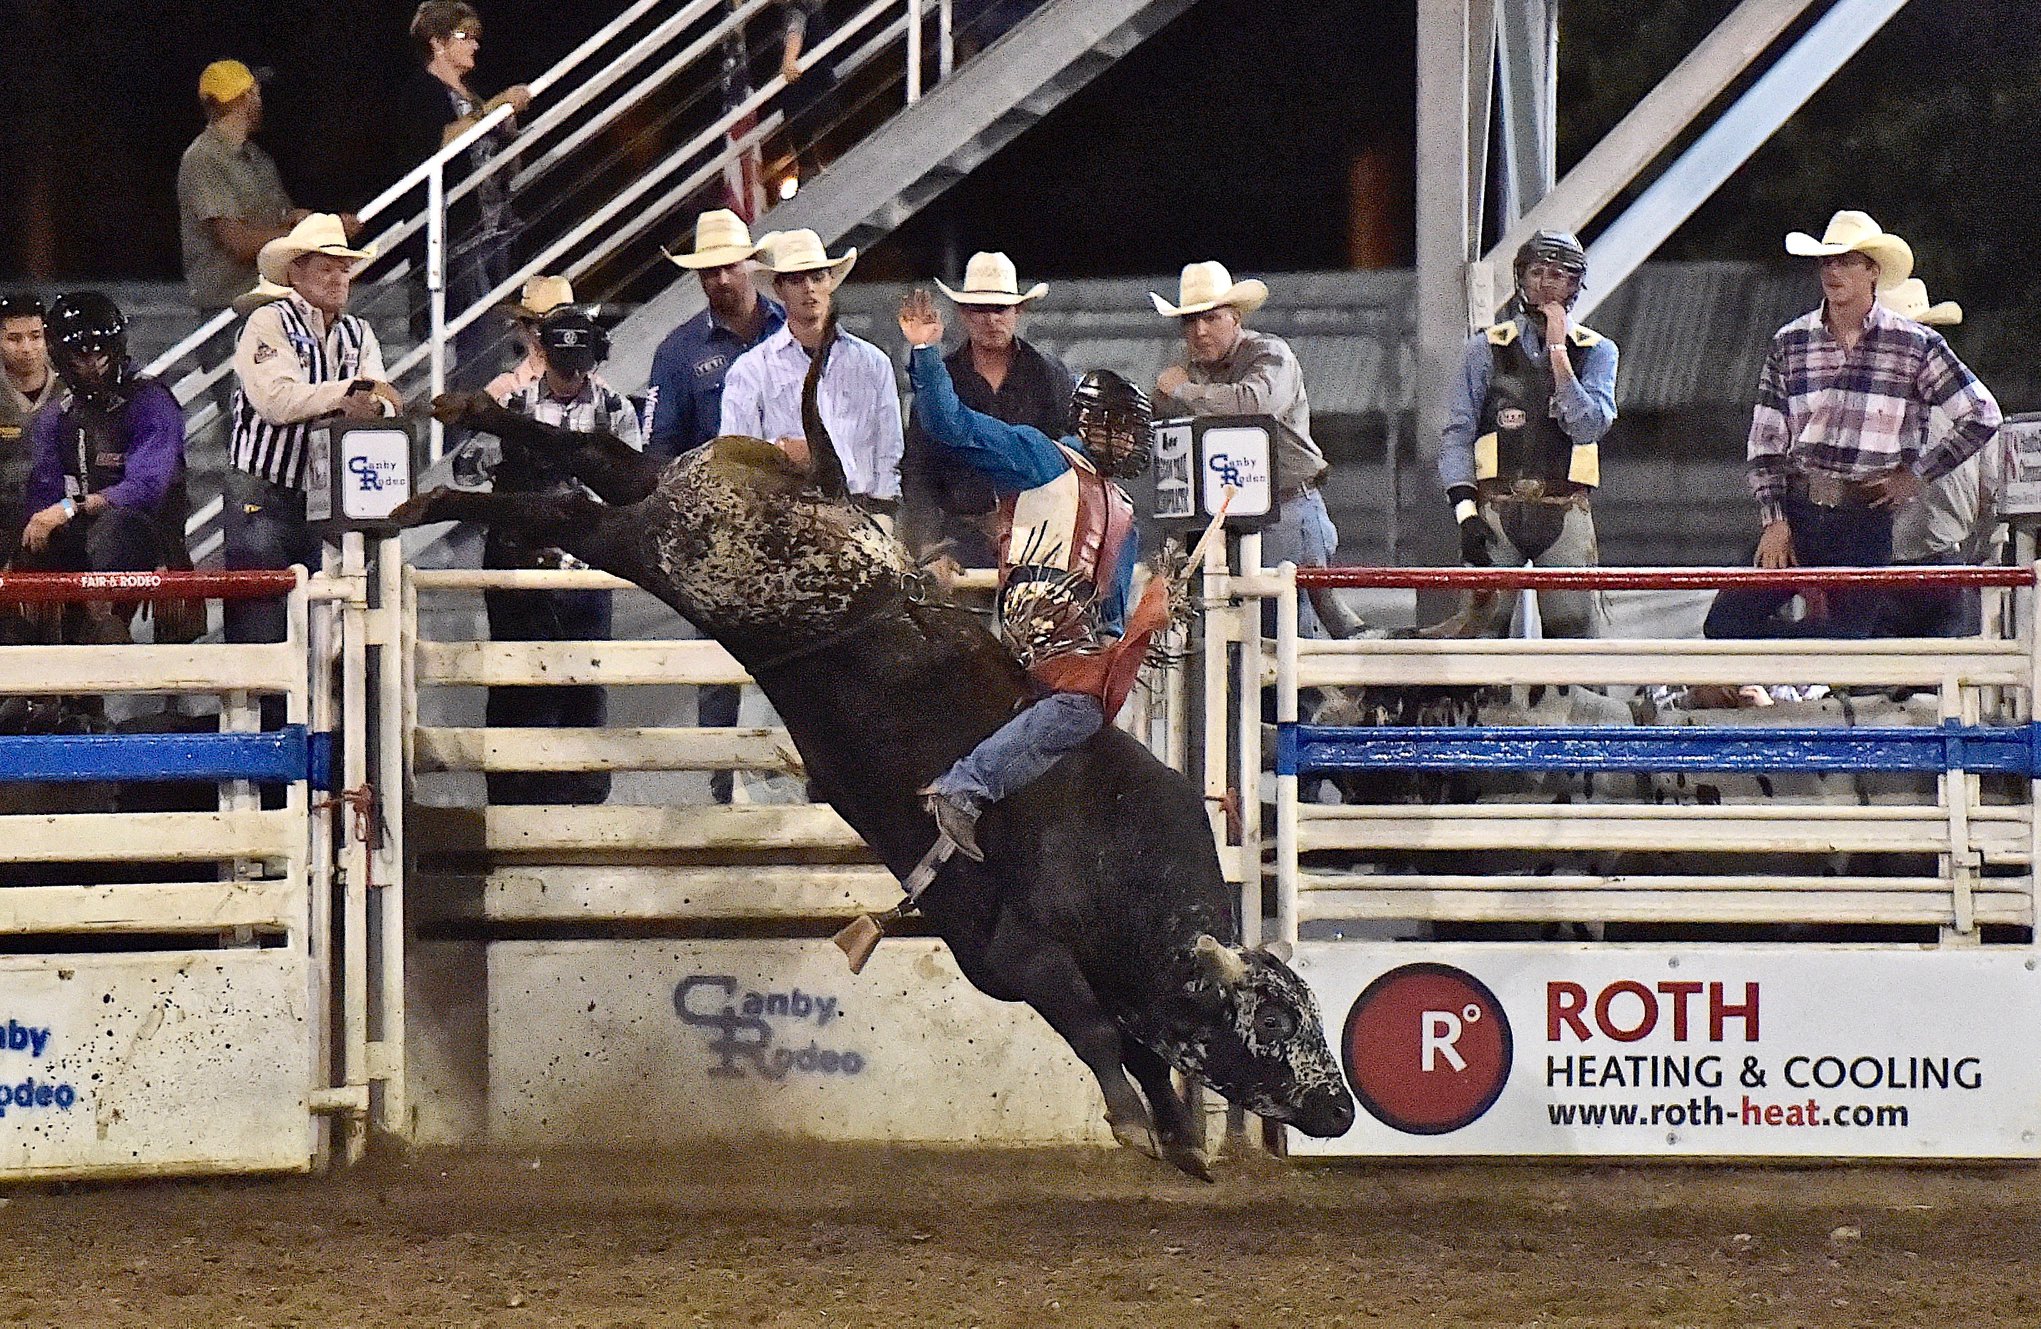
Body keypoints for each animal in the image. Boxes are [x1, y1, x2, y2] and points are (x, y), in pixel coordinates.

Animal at [393, 326, 1355, 1184]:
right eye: (1273, 1023)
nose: (1340, 1109)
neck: (1117, 866)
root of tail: (832, 499)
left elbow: (1147, 1050)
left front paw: (1184, 1142)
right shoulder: (1017, 955)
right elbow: (1093, 1031)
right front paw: (1131, 1123)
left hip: (675, 503)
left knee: (596, 458)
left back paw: (460, 421)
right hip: (674, 554)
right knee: (565, 511)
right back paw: (431, 498)